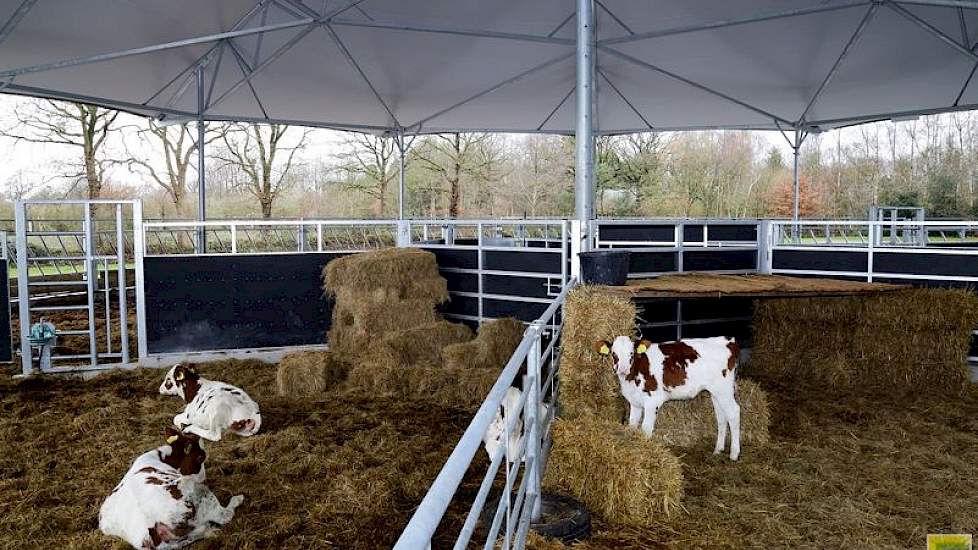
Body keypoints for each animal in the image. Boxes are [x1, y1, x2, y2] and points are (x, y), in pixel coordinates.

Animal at [98, 430, 243, 548]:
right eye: (200, 457)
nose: (203, 476)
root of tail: (149, 526)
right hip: (197, 491)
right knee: (224, 516)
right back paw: (237, 499)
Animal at [596, 336, 740, 462]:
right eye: (614, 354)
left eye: (631, 353)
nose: (622, 370)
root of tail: (728, 341)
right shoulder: (635, 402)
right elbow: (632, 425)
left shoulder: (652, 401)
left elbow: (645, 428)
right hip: (716, 392)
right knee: (721, 416)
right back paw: (718, 450)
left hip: (724, 389)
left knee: (733, 412)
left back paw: (734, 454)